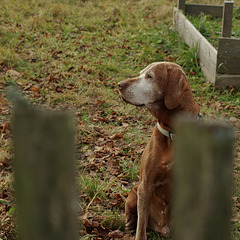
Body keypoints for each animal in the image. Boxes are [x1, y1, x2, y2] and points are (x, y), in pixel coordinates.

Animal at [117, 62, 200, 240]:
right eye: (141, 73)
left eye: (149, 76)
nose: (119, 84)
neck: (173, 133)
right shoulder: (146, 185)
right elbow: (141, 228)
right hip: (134, 193)